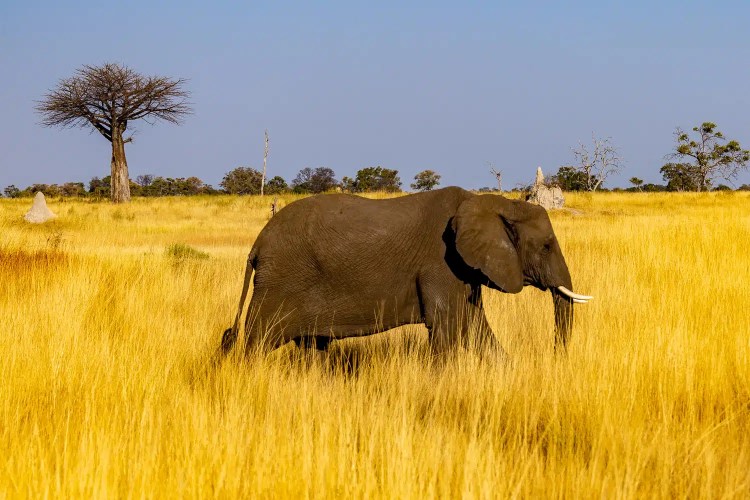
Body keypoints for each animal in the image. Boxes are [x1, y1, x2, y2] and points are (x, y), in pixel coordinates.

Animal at [221, 186, 592, 357]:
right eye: (546, 246)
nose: (555, 357)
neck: (489, 201)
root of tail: (258, 244)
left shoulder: (464, 268)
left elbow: (476, 326)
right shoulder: (440, 262)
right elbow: (448, 326)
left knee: (314, 347)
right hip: (280, 281)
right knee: (256, 343)